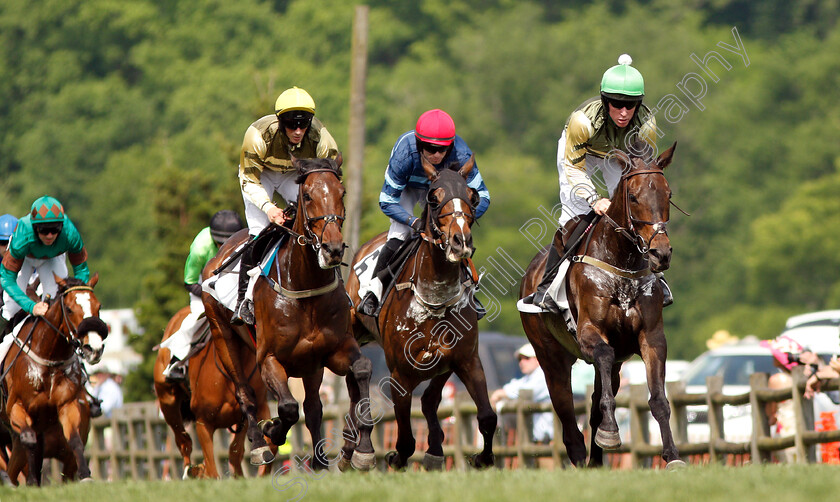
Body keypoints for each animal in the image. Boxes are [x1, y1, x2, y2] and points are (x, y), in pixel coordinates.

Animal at [0, 276, 110, 484]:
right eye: (69, 309)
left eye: (98, 306)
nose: (94, 349)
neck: (49, 358)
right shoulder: (16, 408)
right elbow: (30, 441)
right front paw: (32, 481)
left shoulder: (68, 405)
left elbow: (74, 441)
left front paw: (86, 476)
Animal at [154, 306, 276, 478]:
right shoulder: (203, 422)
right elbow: (212, 468)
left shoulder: (253, 412)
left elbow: (239, 450)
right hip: (168, 403)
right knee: (183, 441)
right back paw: (191, 470)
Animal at [203, 159, 374, 472]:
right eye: (307, 196)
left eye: (342, 192)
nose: (332, 249)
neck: (304, 285)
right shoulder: (269, 358)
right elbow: (288, 408)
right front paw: (271, 429)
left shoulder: (332, 350)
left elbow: (362, 368)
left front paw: (363, 449)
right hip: (223, 337)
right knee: (245, 393)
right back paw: (259, 444)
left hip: (310, 365)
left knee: (314, 406)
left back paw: (320, 461)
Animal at [344, 156, 496, 470]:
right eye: (433, 198)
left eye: (472, 197)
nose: (460, 241)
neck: (434, 298)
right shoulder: (400, 376)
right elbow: (404, 439)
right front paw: (393, 456)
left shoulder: (466, 360)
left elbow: (487, 416)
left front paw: (482, 457)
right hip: (352, 329)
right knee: (356, 382)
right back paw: (358, 449)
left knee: (427, 399)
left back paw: (434, 449)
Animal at [520, 142, 688, 470]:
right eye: (633, 197)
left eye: (668, 194)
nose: (661, 254)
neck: (620, 260)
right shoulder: (590, 334)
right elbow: (602, 362)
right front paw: (610, 433)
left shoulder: (651, 338)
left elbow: (658, 400)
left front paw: (673, 456)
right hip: (550, 359)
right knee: (567, 419)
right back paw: (579, 459)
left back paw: (596, 460)